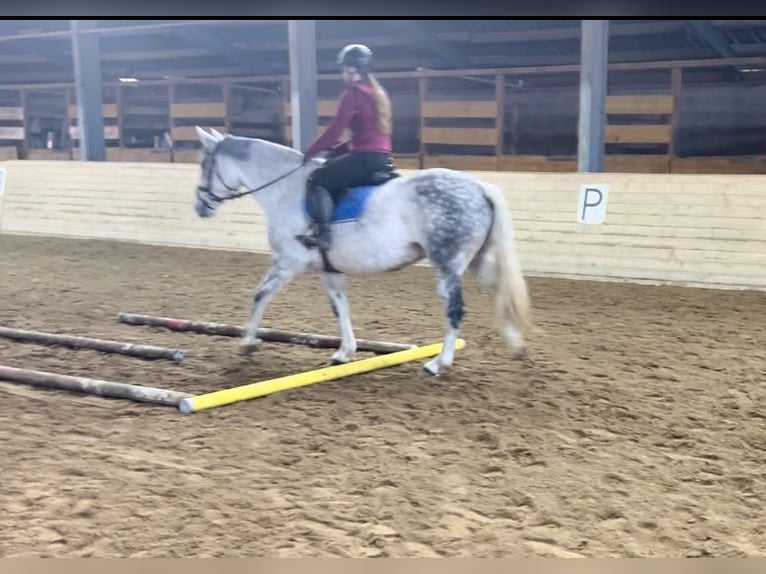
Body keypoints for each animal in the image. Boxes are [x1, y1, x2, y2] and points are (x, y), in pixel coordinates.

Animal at [190, 127, 536, 378]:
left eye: (204, 165)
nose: (201, 208)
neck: (286, 190)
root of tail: (479, 187)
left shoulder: (289, 262)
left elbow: (260, 294)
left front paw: (248, 343)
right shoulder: (328, 269)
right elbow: (340, 307)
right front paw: (345, 352)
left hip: (448, 265)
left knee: (455, 309)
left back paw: (439, 363)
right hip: (476, 261)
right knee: (502, 292)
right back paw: (517, 345)